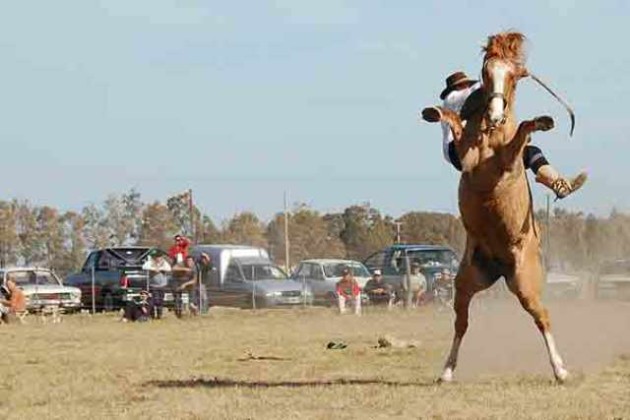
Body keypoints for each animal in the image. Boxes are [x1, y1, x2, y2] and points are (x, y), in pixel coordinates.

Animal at [422, 31, 572, 382]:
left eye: (514, 76)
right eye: (486, 72)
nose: (494, 115)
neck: (490, 135)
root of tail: (501, 268)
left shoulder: (506, 161)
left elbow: (523, 132)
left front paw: (542, 121)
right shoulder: (469, 157)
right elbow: (455, 124)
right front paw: (436, 113)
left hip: (526, 283)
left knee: (542, 317)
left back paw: (560, 370)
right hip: (466, 282)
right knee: (461, 323)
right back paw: (446, 370)